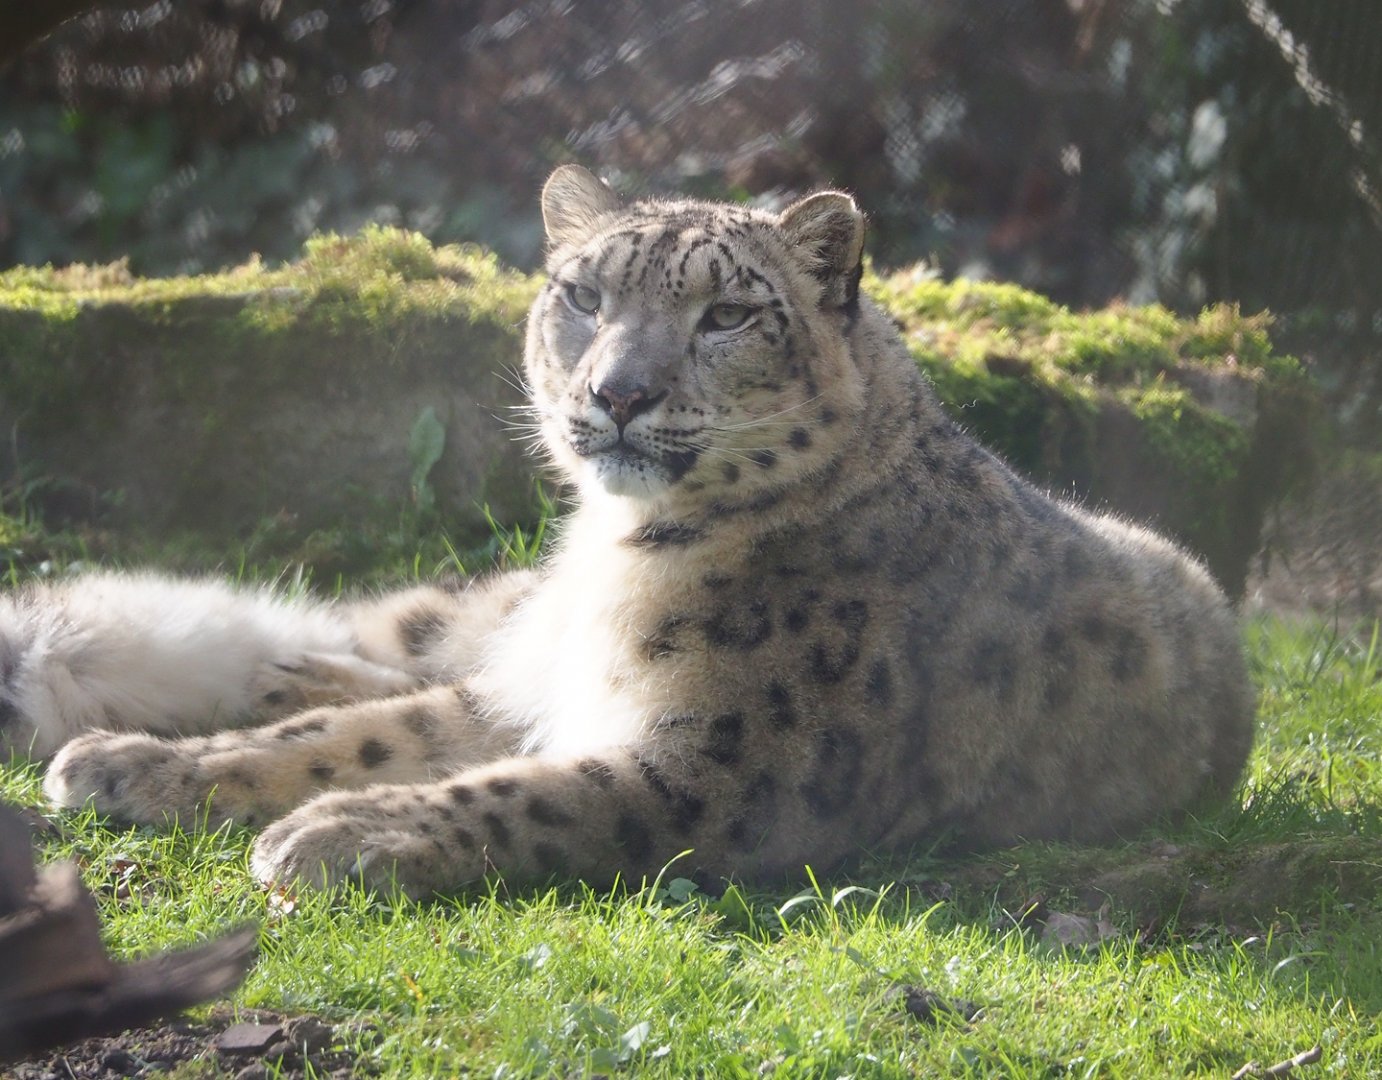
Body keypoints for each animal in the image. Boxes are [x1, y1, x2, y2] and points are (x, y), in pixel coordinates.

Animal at [1, 165, 1254, 897]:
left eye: (729, 313)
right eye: (582, 294)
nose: (615, 393)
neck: (619, 559)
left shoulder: (725, 766)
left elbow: (520, 794)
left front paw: (337, 833)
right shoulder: (525, 694)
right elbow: (361, 735)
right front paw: (141, 765)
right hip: (482, 624)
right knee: (391, 637)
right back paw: (260, 677)